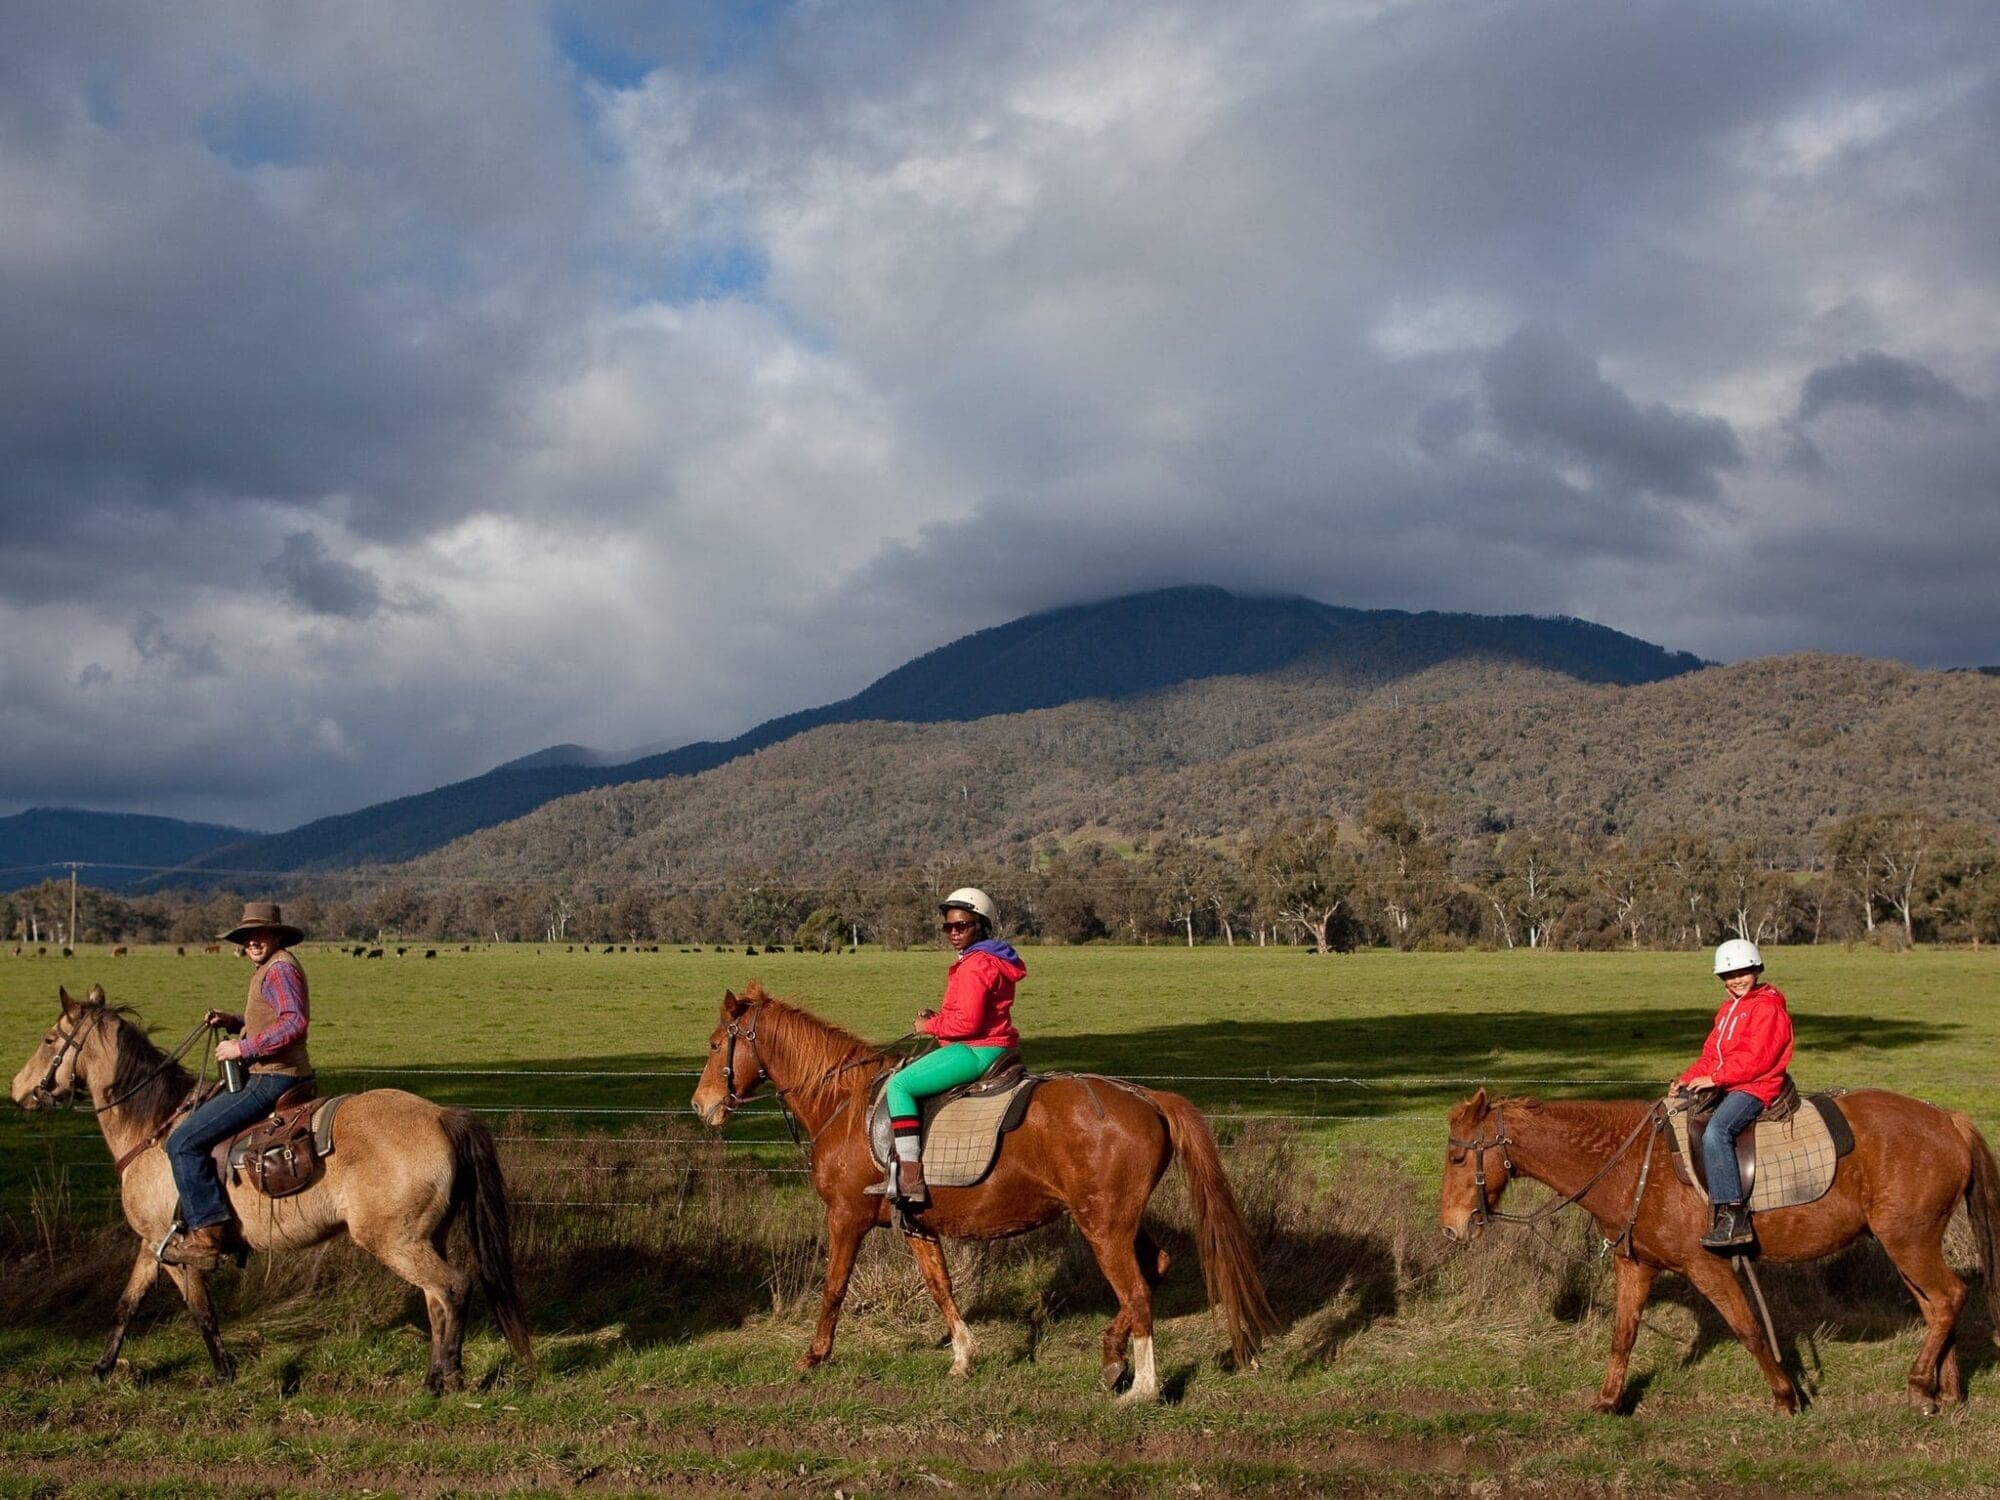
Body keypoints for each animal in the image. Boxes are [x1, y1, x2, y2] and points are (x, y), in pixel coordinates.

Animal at [9, 986, 535, 1392]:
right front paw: (101, 1369)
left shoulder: (176, 1247)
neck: (154, 1128)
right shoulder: (152, 1242)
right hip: (427, 1236)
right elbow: (126, 1304)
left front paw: (224, 1373)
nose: (17, 1089)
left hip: (396, 1240)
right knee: (436, 1298)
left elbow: (201, 1311)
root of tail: (442, 1116)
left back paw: (442, 1380)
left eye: (49, 1038)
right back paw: (441, 1375)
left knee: (452, 1287)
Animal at [691, 985, 1276, 1400]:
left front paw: (813, 1356)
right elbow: (940, 1287)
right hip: (1118, 1220)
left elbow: (833, 1287)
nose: (701, 1105)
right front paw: (963, 1356)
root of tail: (1146, 1096)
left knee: (1136, 1292)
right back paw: (1113, 1358)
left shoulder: (846, 1217)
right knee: (1155, 1268)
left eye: (717, 1044)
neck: (844, 1102)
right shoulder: (916, 1226)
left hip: (1103, 1226)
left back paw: (1143, 1389)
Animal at [1440, 1088, 2000, 1415]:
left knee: (1948, 1298)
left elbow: (1748, 1328)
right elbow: (1623, 1335)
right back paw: (1943, 1392)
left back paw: (1920, 1382)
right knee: (1937, 1306)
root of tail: (1946, 1120)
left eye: (1457, 1157)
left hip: (1909, 1240)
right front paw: (1608, 1401)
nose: (1450, 1228)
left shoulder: (1705, 1266)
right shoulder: (1635, 1264)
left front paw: (1786, 1397)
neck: (1630, 1163)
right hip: (1908, 1244)